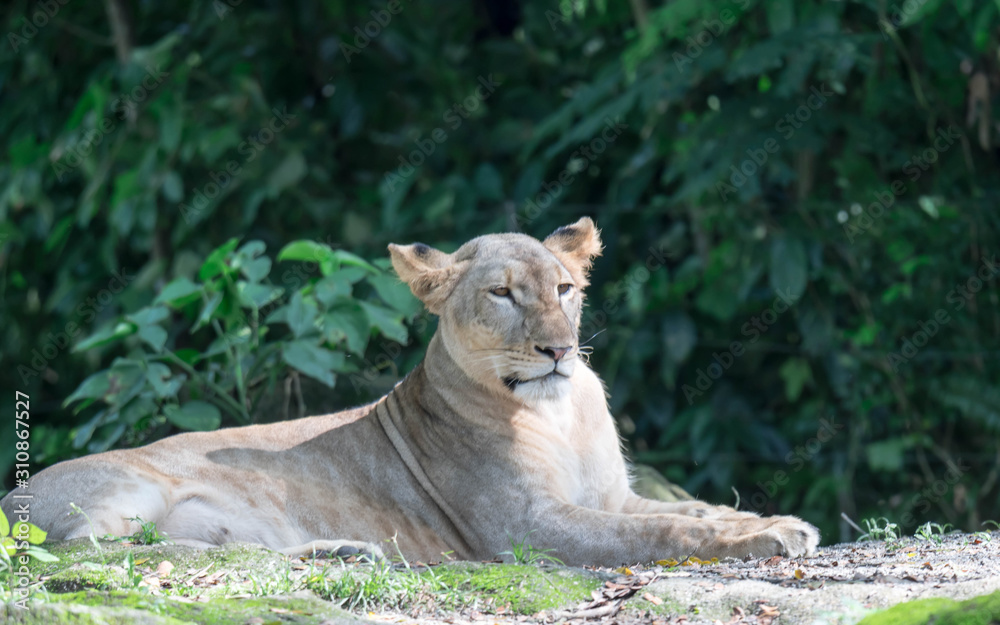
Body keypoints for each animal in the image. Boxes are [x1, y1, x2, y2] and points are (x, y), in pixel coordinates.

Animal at [1, 218, 819, 566]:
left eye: (564, 288)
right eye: (502, 294)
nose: (558, 349)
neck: (557, 413)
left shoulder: (611, 494)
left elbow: (690, 508)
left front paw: (774, 519)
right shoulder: (527, 527)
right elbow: (665, 533)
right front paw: (761, 537)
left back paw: (339, 550)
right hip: (125, 490)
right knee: (91, 552)